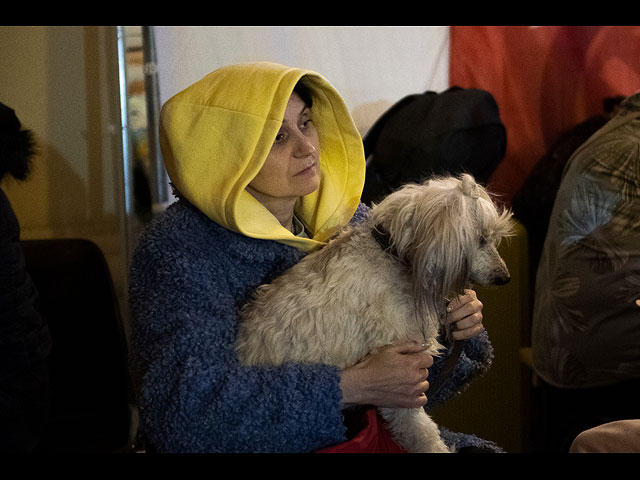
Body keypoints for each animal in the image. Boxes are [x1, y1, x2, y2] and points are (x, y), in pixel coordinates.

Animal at [236, 174, 516, 452]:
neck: (391, 255)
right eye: (481, 238)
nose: (504, 277)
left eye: (492, 237)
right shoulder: (403, 384)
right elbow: (424, 434)